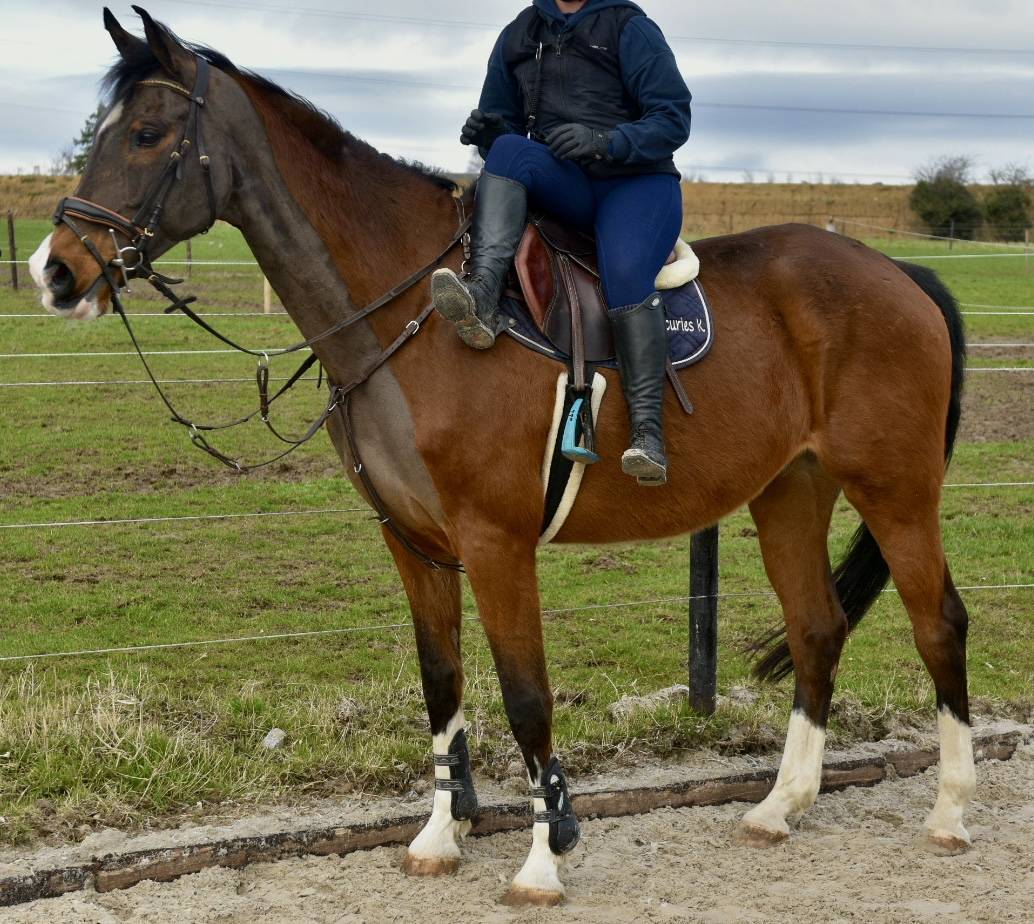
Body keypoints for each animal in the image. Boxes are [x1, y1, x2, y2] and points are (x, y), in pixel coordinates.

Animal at [29, 8, 973, 906]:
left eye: (147, 133)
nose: (55, 270)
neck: (414, 314)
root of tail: (897, 271)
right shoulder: (412, 542)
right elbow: (441, 682)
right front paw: (440, 836)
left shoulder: (496, 541)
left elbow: (526, 696)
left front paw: (544, 857)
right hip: (790, 489)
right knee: (817, 625)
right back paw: (782, 806)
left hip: (895, 489)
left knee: (939, 622)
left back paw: (951, 812)